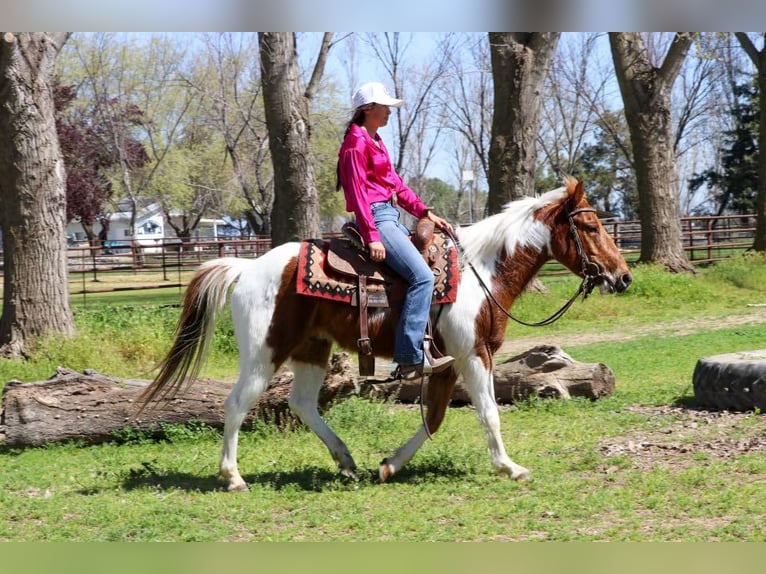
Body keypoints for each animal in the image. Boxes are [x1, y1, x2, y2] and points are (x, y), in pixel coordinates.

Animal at [141, 176, 632, 490]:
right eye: (591, 226)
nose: (623, 277)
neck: (483, 271)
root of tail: (246, 268)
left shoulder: (448, 362)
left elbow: (435, 418)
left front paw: (389, 466)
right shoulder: (474, 354)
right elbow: (489, 413)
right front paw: (510, 468)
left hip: (312, 351)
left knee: (302, 404)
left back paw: (346, 462)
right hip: (265, 353)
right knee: (237, 403)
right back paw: (233, 477)